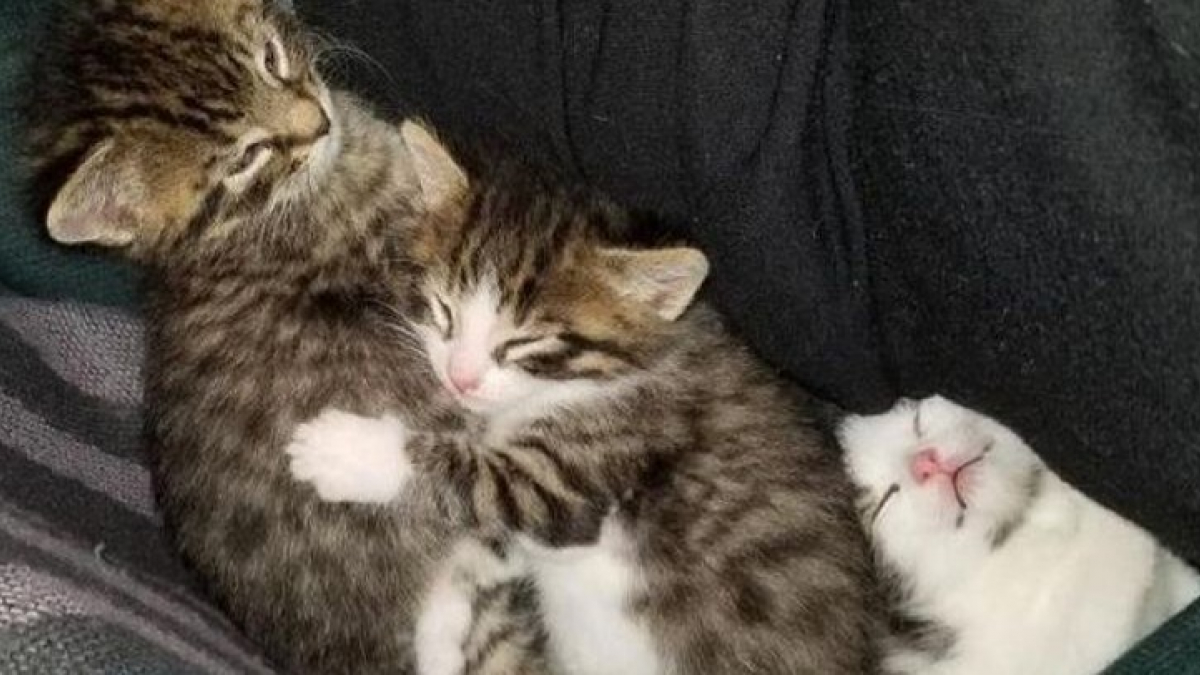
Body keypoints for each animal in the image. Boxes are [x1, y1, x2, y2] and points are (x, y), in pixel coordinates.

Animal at [280, 133, 883, 667]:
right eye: (443, 311)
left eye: (523, 343)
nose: (460, 379)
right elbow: (484, 548)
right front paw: (437, 634)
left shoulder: (597, 465)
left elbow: (483, 481)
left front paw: (348, 451)